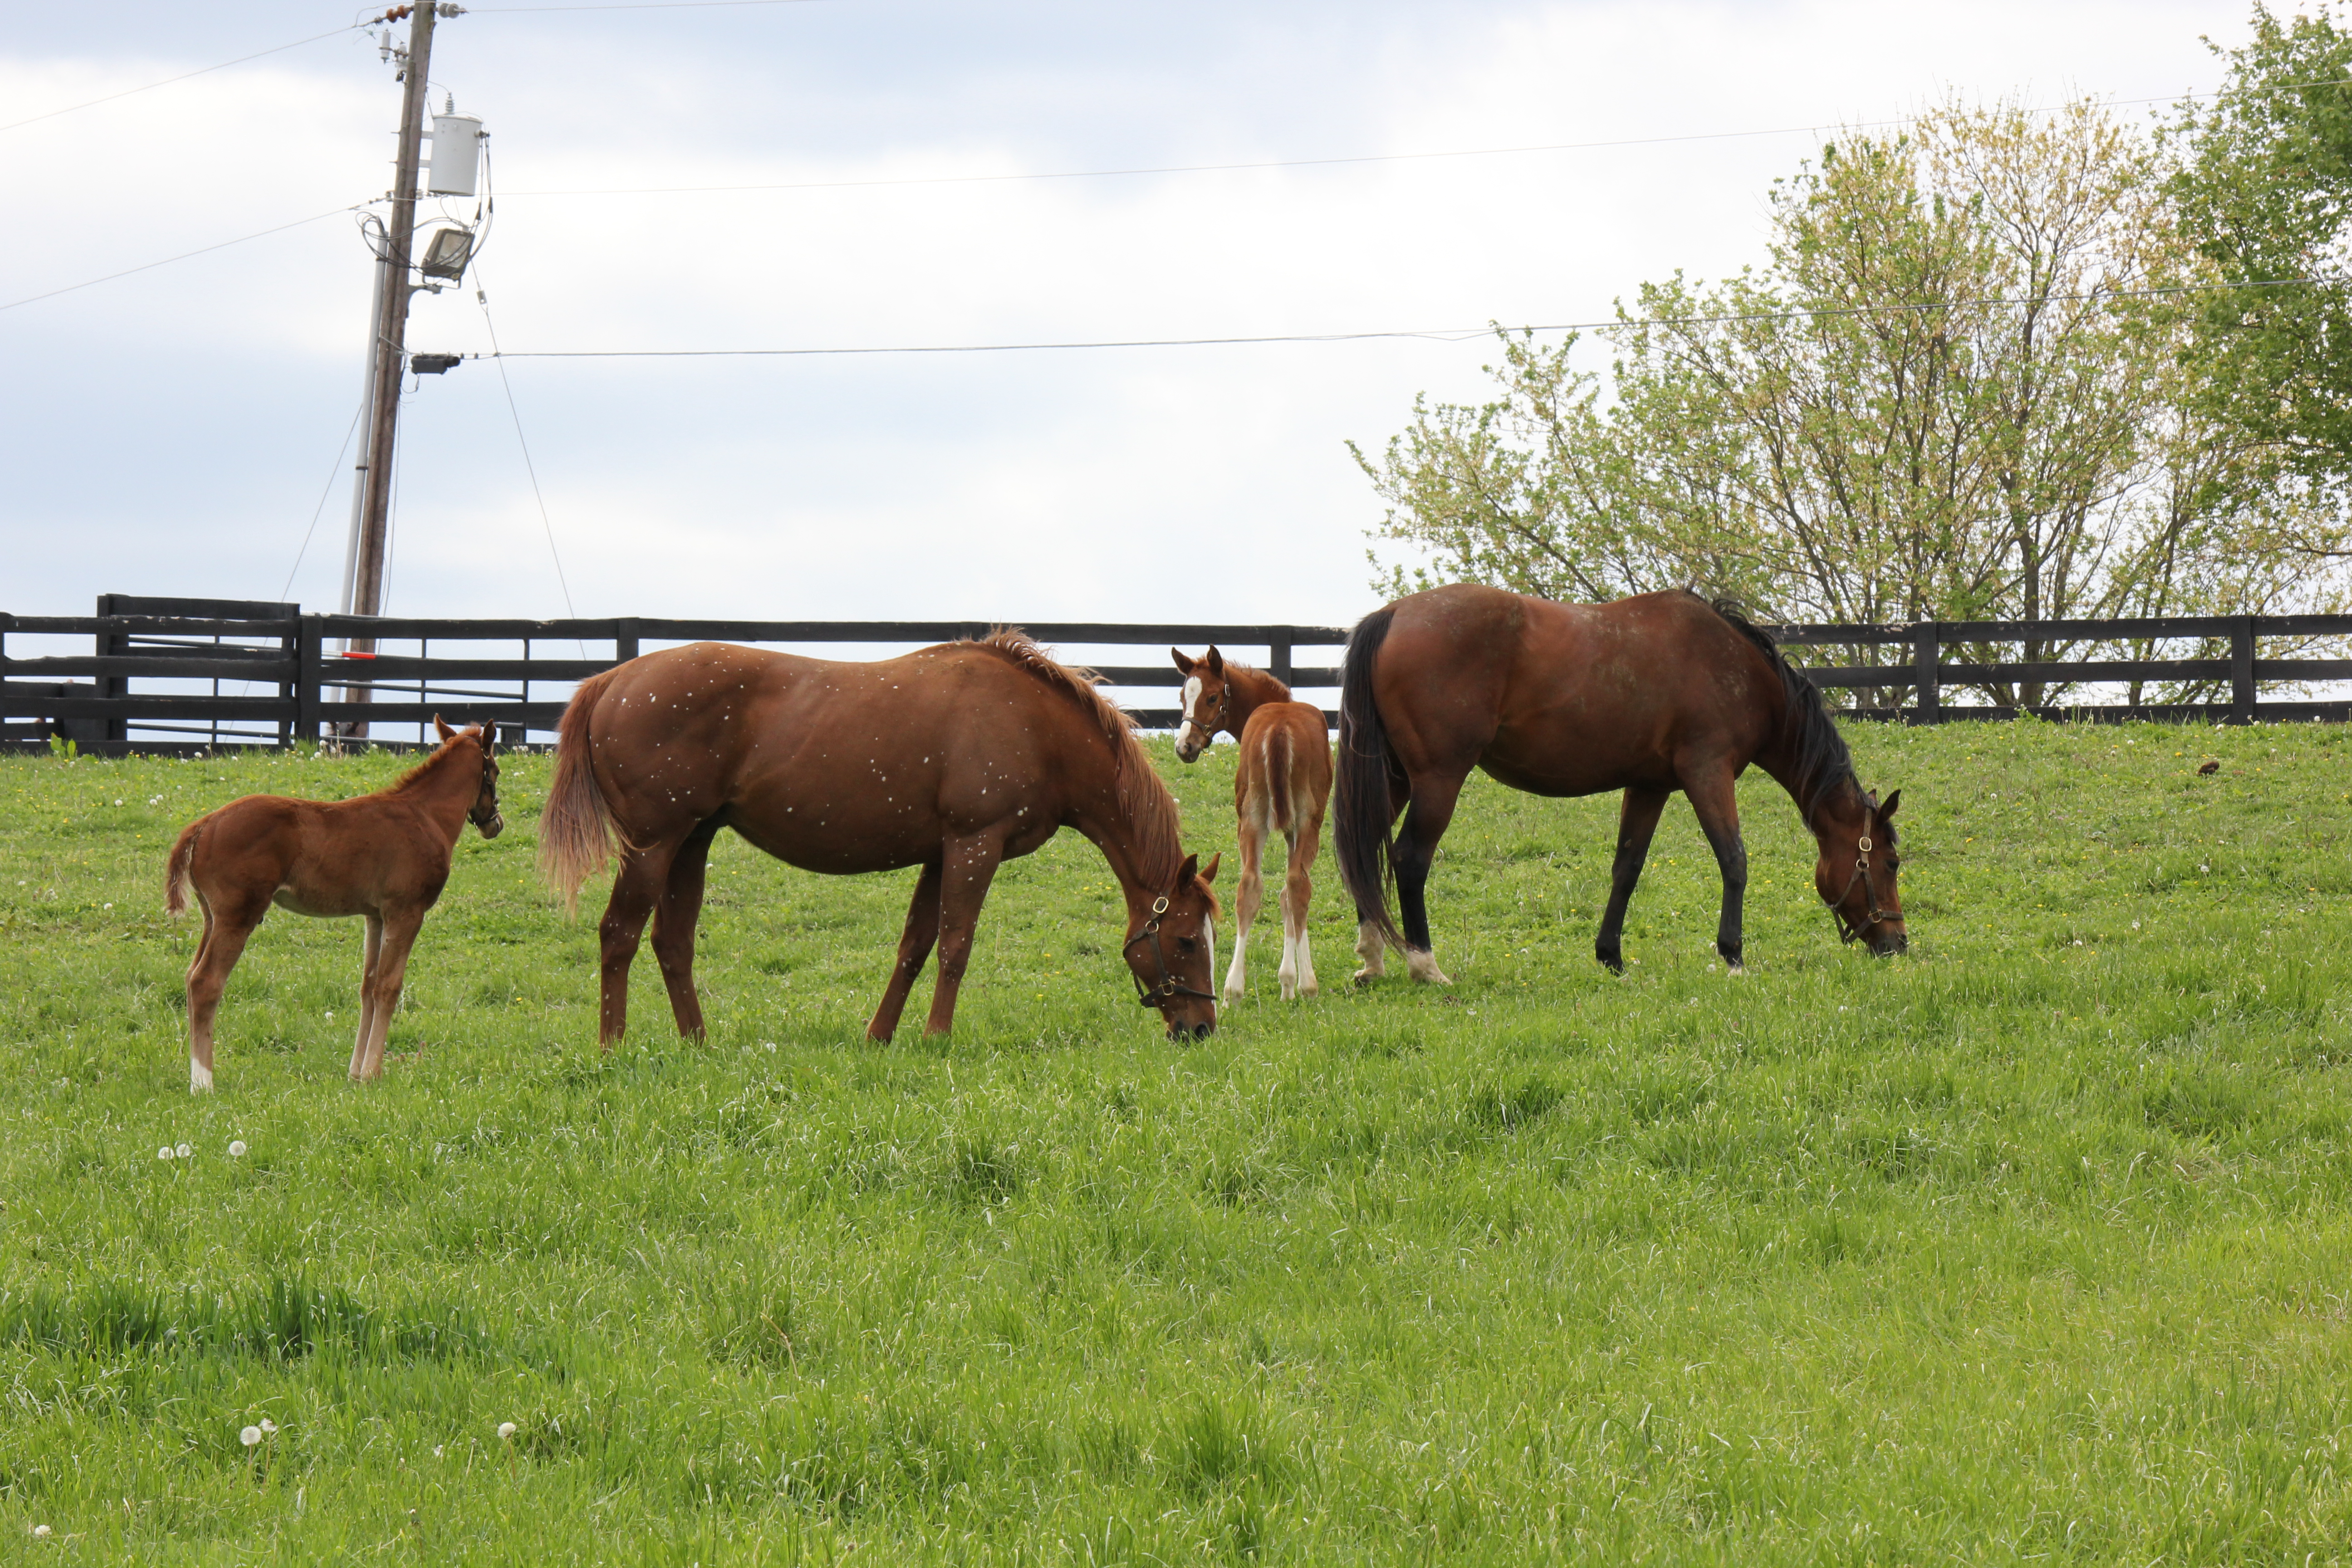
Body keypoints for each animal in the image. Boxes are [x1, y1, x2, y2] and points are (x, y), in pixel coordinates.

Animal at [163, 715, 503, 1091]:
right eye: (496, 771)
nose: (495, 824)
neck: (425, 815)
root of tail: (203, 825)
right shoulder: (406, 912)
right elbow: (389, 986)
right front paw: (373, 1073)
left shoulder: (376, 916)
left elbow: (368, 985)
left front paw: (356, 1072)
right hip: (238, 916)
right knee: (206, 982)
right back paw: (203, 1083)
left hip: (212, 917)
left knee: (190, 976)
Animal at [539, 630, 1223, 1048]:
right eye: (1186, 940)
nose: (1201, 1029)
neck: (1036, 726)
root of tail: (611, 682)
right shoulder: (975, 845)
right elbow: (955, 944)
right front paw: (937, 1037)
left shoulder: (940, 854)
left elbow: (915, 947)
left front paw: (882, 1036)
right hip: (653, 844)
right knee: (619, 936)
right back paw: (613, 1047)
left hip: (691, 843)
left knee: (672, 943)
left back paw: (698, 1044)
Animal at [1171, 649, 1336, 1006]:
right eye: (1183, 697)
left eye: (1211, 697)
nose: (1184, 747)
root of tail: (1279, 728)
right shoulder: (1296, 828)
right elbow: (1290, 893)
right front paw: (1291, 983)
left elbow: (1278, 894)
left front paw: (1286, 981)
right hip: (1308, 820)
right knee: (1297, 885)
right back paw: (1309, 985)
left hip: (1251, 818)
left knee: (1249, 886)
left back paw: (1233, 990)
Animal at [1336, 588, 1900, 982]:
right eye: (1892, 862)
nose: (1898, 943)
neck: (1735, 668)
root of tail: (1393, 616)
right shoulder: (1708, 774)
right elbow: (1734, 860)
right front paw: (1733, 955)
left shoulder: (1649, 787)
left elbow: (1627, 869)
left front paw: (1611, 956)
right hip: (1438, 780)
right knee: (1409, 859)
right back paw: (1425, 965)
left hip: (1395, 778)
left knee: (1365, 851)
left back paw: (1372, 960)